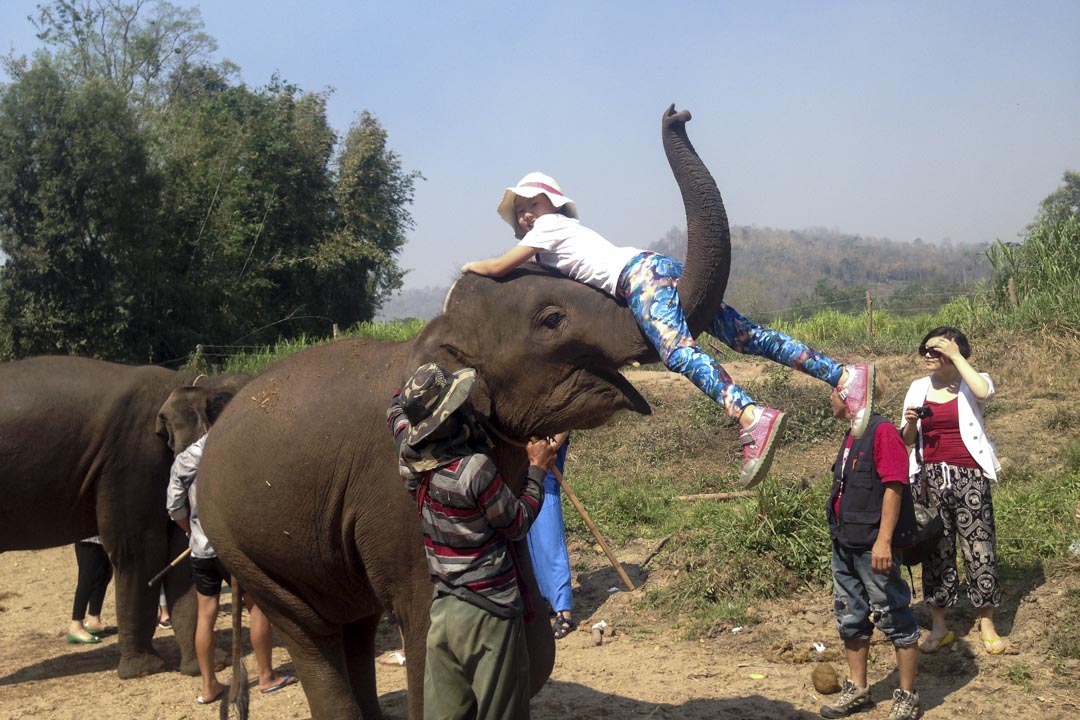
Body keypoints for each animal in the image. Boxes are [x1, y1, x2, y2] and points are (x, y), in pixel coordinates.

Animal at [0, 360, 247, 682]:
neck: (190, 382)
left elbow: (180, 556)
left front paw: (213, 665)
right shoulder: (132, 461)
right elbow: (139, 551)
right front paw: (146, 669)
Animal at [197, 102, 730, 720]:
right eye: (552, 321)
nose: (677, 112)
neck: (437, 335)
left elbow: (534, 647)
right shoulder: (394, 501)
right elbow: (429, 623)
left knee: (355, 625)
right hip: (242, 548)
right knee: (314, 635)